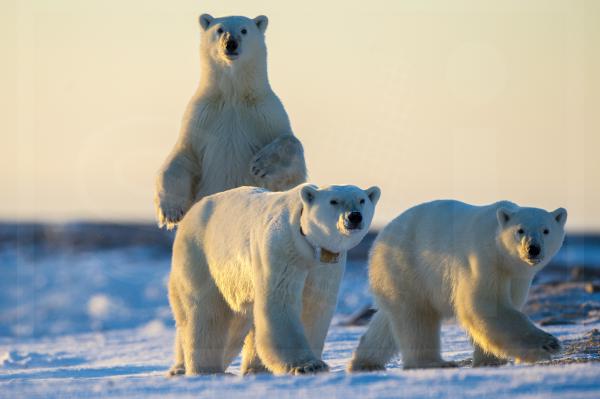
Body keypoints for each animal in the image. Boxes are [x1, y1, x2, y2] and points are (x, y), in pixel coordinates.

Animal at [155, 14, 308, 230]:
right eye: (219, 29)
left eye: (244, 30)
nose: (231, 43)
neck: (233, 95)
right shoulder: (201, 117)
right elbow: (182, 155)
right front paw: (171, 211)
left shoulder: (266, 115)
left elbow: (293, 158)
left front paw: (261, 165)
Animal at [165, 183, 380, 376]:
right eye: (333, 201)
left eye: (362, 200)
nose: (354, 216)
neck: (305, 241)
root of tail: (190, 214)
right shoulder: (282, 249)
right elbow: (281, 301)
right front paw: (306, 366)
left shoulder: (325, 266)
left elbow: (314, 306)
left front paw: (314, 363)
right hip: (200, 255)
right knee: (206, 313)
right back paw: (205, 369)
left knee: (236, 323)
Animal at [346, 200, 568, 372]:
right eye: (520, 230)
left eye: (546, 230)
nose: (533, 249)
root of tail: (380, 239)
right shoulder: (483, 260)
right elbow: (486, 305)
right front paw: (548, 345)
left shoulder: (518, 277)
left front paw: (489, 360)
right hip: (407, 265)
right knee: (417, 318)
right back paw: (433, 363)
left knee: (388, 320)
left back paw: (364, 363)